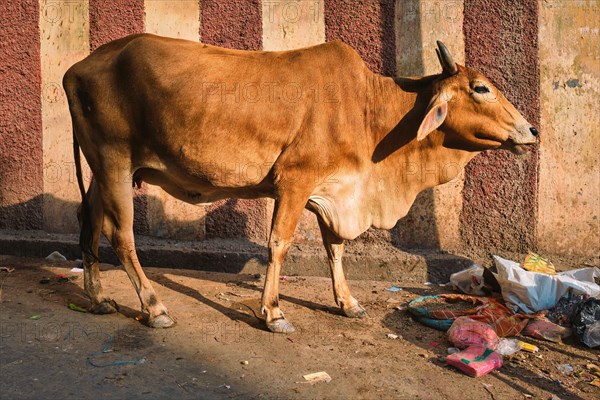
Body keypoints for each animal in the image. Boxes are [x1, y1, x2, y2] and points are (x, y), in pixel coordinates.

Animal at [63, 34, 536, 332]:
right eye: (481, 88)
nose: (531, 130)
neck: (369, 111)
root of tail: (78, 67)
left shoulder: (334, 191)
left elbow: (335, 248)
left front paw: (348, 303)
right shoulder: (294, 182)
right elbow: (278, 244)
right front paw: (272, 313)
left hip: (103, 170)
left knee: (88, 221)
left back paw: (97, 299)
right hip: (115, 161)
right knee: (120, 235)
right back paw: (154, 307)